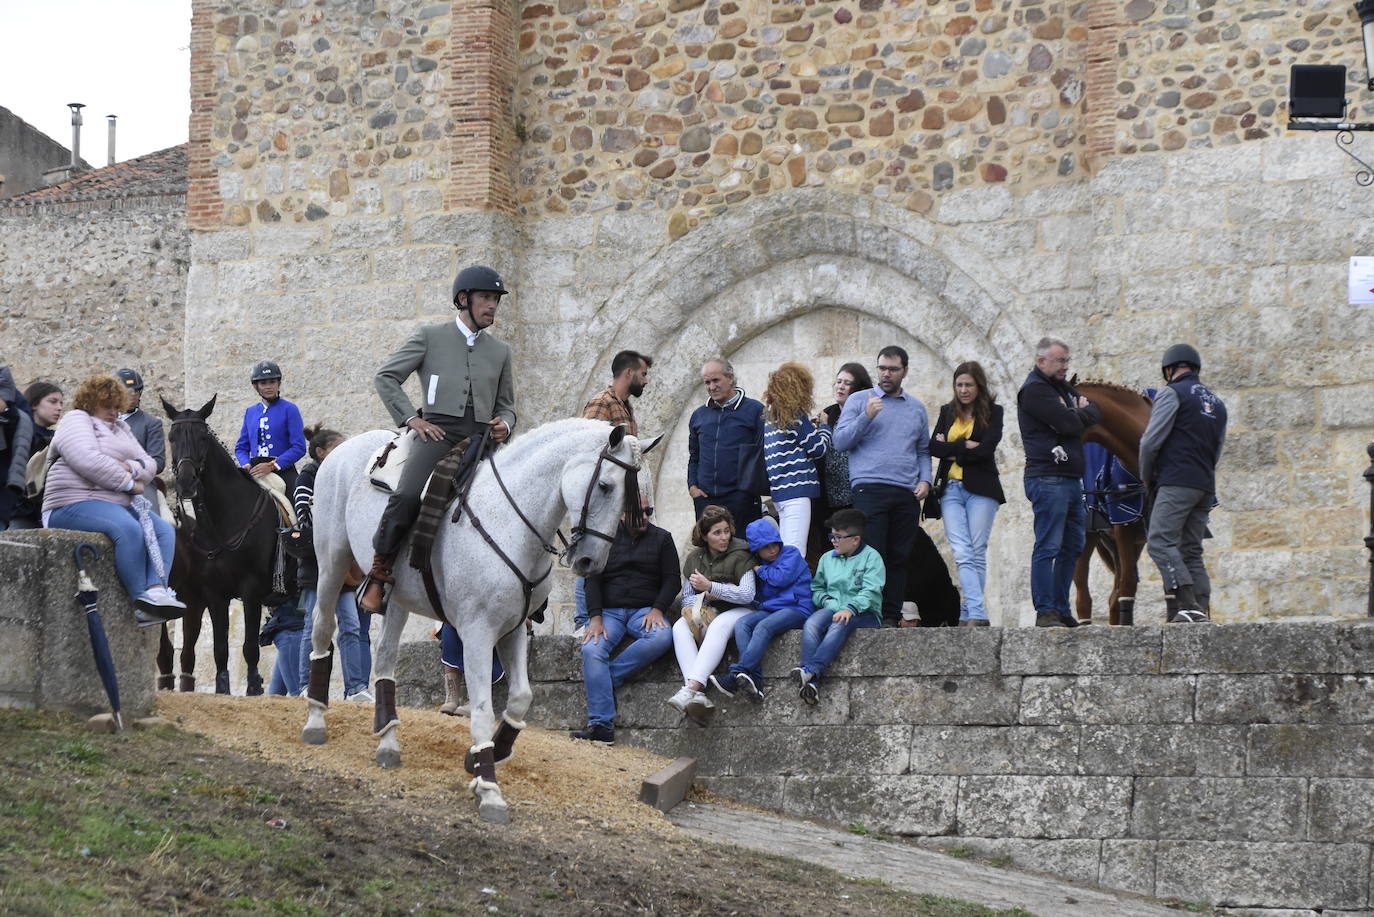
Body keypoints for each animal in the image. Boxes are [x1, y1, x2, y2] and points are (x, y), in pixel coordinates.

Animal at [160, 395, 287, 695]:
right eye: (171, 437)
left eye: (203, 437)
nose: (186, 483)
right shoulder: (214, 594)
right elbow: (220, 648)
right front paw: (223, 689)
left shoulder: (251, 590)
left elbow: (250, 646)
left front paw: (253, 688)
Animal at [300, 420, 654, 819]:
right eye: (606, 486)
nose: (591, 563)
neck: (511, 523)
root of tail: (344, 449)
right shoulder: (477, 634)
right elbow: (483, 709)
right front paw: (489, 788)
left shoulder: (513, 629)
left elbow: (521, 698)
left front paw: (486, 756)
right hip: (332, 563)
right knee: (321, 629)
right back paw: (315, 720)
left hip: (396, 598)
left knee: (386, 657)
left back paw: (388, 741)